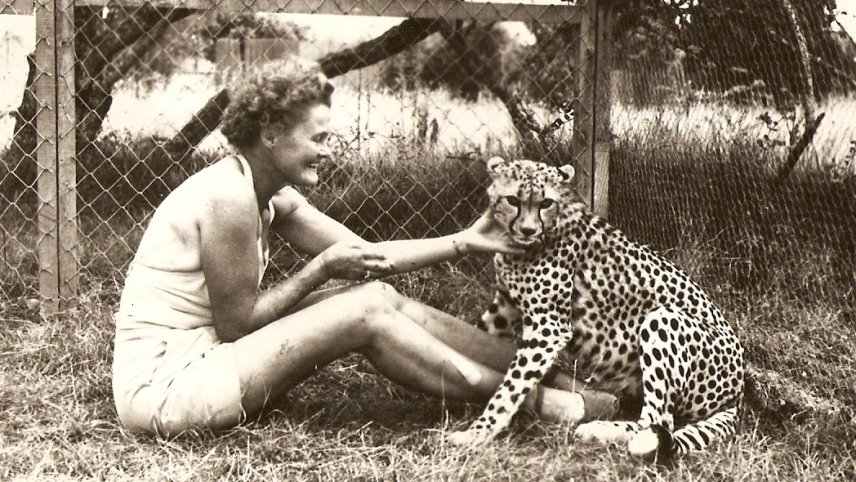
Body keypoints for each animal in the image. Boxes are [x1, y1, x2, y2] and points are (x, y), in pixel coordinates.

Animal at [449, 156, 744, 461]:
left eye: (546, 203)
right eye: (513, 200)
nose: (528, 230)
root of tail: (738, 394)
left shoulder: (549, 327)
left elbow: (510, 388)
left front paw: (477, 434)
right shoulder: (506, 306)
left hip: (662, 317)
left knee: (659, 420)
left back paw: (599, 430)